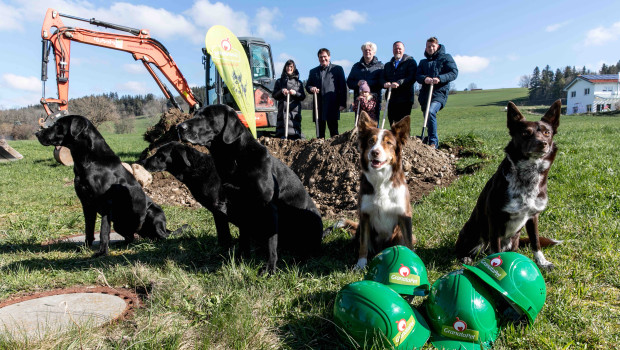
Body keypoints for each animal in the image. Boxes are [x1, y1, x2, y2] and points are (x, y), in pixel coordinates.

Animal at [36, 116, 178, 256]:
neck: (89, 160)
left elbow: (103, 231)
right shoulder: (86, 204)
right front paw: (85, 247)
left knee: (160, 236)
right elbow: (89, 229)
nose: (37, 133)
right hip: (119, 224)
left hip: (152, 213)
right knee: (131, 237)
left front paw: (102, 252)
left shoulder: (106, 205)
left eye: (58, 125)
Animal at [177, 104, 322, 274]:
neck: (235, 160)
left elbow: (271, 243)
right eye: (195, 114)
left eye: (208, 116)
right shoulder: (239, 206)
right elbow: (243, 238)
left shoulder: (269, 209)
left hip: (309, 221)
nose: (179, 127)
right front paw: (240, 260)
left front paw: (270, 268)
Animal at [452, 100, 564, 270]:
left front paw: (543, 262)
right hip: (472, 233)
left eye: (547, 133)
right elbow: (496, 248)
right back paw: (466, 258)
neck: (528, 177)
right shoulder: (495, 218)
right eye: (525, 133)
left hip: (513, 240)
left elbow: (535, 241)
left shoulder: (533, 216)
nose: (542, 143)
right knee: (466, 250)